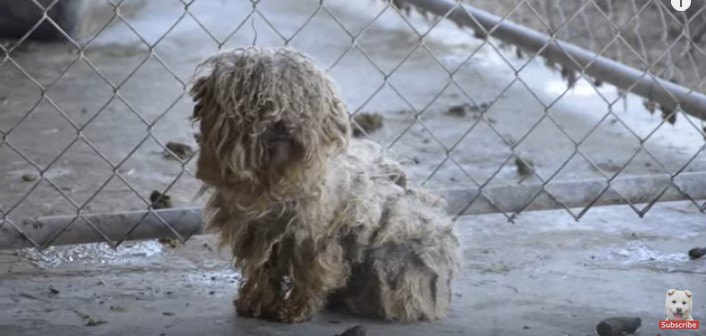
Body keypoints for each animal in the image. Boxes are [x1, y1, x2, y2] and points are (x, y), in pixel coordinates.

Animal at [190, 47, 460, 322]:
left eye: (300, 100)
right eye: (258, 100)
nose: (284, 124)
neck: (274, 182)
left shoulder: (314, 237)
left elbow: (311, 274)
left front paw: (296, 310)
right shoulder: (258, 235)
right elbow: (263, 271)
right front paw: (256, 303)